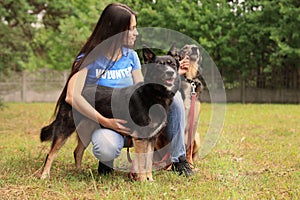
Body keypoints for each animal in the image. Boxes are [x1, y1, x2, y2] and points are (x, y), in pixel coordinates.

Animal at [36, 46, 179, 182]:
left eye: (172, 64)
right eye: (159, 65)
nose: (170, 73)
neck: (154, 93)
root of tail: (70, 92)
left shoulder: (151, 138)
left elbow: (148, 162)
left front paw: (150, 180)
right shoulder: (141, 138)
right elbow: (142, 163)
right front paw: (143, 180)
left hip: (86, 129)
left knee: (77, 151)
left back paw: (79, 172)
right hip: (65, 127)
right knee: (51, 153)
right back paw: (44, 175)